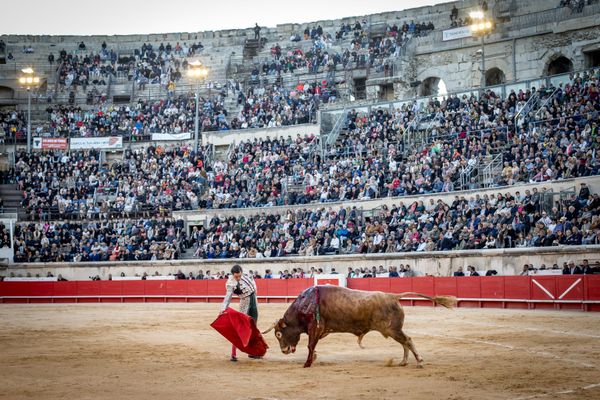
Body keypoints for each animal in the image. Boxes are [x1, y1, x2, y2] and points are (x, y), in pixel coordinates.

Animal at [262, 286, 454, 368]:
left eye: (278, 334)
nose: (284, 350)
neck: (305, 304)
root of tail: (393, 296)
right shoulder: (318, 331)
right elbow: (313, 346)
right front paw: (314, 358)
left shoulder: (314, 328)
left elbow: (310, 345)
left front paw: (307, 363)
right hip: (393, 330)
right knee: (404, 342)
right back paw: (403, 362)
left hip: (392, 329)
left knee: (407, 340)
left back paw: (419, 362)